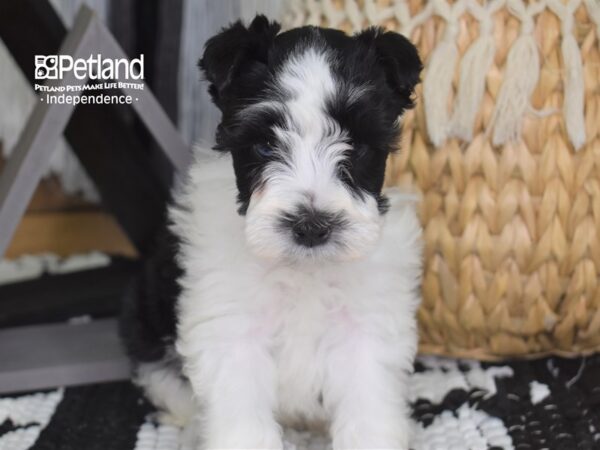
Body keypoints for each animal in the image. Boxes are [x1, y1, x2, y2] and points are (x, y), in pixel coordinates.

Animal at [120, 15, 422, 448]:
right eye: (264, 146)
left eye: (358, 145)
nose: (311, 226)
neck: (303, 268)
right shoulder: (231, 330)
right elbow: (241, 418)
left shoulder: (365, 330)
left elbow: (368, 408)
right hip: (145, 321)